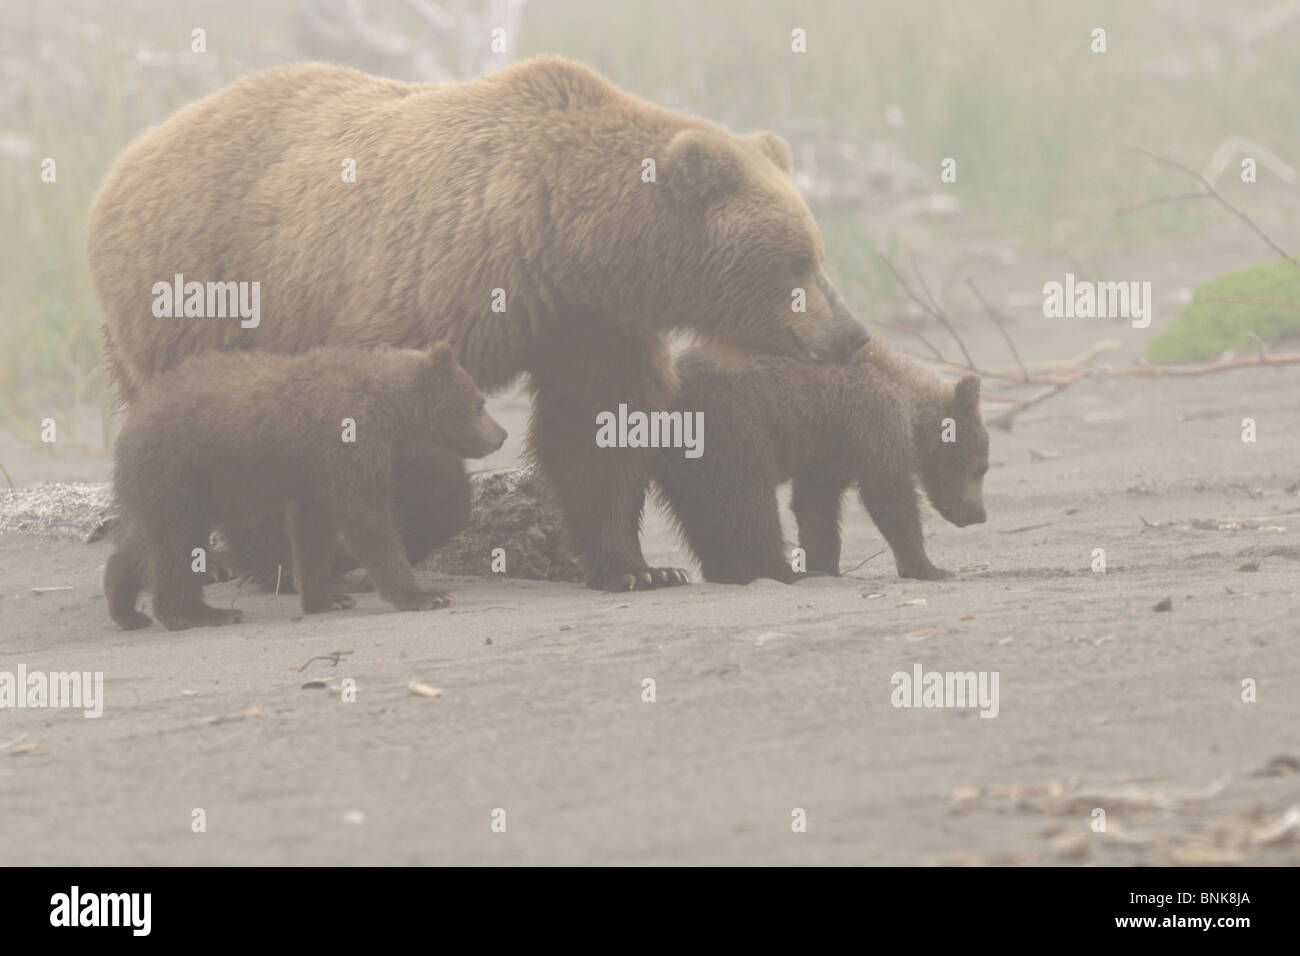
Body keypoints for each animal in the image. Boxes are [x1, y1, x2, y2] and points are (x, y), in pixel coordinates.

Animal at [85, 57, 870, 593]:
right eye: (799, 260)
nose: (853, 333)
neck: (564, 236)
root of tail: (124, 163)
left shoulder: (590, 319)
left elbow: (599, 426)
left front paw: (639, 567)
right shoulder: (441, 270)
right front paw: (388, 538)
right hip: (206, 290)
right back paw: (265, 561)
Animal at [104, 344, 507, 630]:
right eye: (480, 402)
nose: (501, 434)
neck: (387, 407)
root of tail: (130, 424)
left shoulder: (317, 472)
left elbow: (313, 529)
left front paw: (326, 597)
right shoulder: (347, 442)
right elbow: (367, 519)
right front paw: (426, 595)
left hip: (166, 484)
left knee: (144, 540)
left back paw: (125, 608)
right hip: (181, 470)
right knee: (178, 543)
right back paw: (201, 613)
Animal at [654, 341, 989, 585]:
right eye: (981, 466)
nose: (980, 514)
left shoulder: (829, 452)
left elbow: (815, 507)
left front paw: (826, 564)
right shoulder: (871, 423)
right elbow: (889, 495)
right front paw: (930, 568)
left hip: (684, 462)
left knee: (698, 513)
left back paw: (725, 570)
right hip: (733, 427)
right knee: (749, 501)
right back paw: (780, 570)